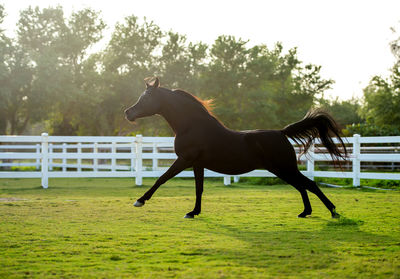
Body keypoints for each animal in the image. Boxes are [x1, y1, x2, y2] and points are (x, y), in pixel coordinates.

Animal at [125, 77, 346, 220]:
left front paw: (140, 200)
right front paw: (193, 212)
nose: (128, 113)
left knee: (310, 184)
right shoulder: (197, 164)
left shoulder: (184, 160)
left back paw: (333, 212)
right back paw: (306, 212)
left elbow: (162, 178)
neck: (192, 126)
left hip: (285, 168)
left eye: (146, 97)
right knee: (302, 186)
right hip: (282, 170)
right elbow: (199, 188)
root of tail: (281, 133)